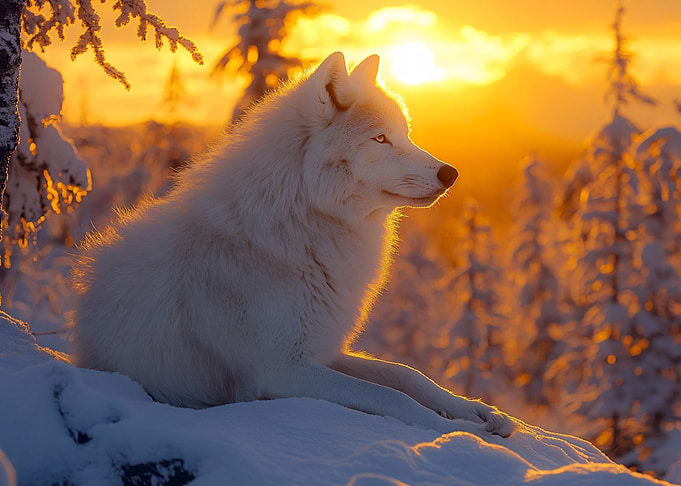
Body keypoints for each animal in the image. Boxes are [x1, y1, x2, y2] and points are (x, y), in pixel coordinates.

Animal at [70, 52, 515, 437]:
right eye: (380, 139)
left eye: (404, 134)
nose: (450, 173)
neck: (296, 225)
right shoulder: (283, 371)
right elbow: (390, 397)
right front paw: (458, 431)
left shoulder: (319, 348)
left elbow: (407, 374)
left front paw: (478, 410)